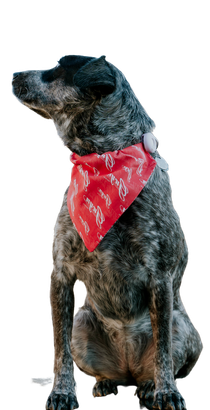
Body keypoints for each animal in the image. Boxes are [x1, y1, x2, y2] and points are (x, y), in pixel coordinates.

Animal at [11, 54, 203, 410]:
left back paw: (149, 386)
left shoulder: (159, 276)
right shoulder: (61, 273)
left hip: (184, 327)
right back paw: (108, 383)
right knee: (106, 370)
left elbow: (163, 350)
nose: (15, 75)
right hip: (82, 324)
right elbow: (60, 352)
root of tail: (128, 366)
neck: (105, 159)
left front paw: (167, 392)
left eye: (57, 70)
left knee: (160, 360)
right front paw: (61, 393)